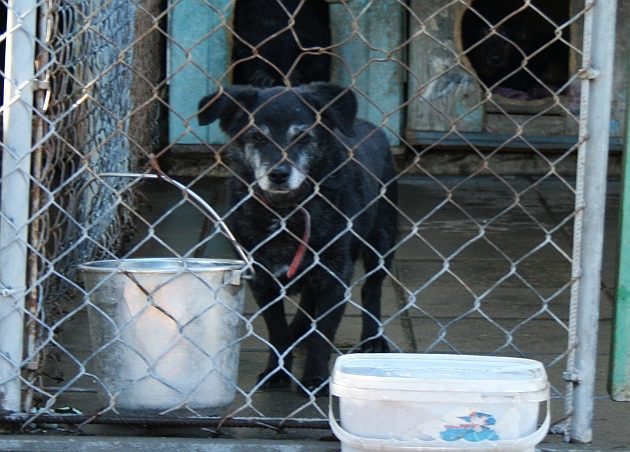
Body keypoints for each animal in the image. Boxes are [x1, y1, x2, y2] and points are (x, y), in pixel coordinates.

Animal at [198, 83, 398, 394]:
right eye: (257, 136)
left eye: (302, 136)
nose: (278, 174)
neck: (287, 212)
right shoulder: (263, 281)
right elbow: (278, 332)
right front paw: (277, 372)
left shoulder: (335, 278)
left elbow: (323, 335)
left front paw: (315, 379)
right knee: (307, 301)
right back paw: (299, 330)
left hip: (382, 241)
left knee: (371, 289)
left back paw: (373, 338)